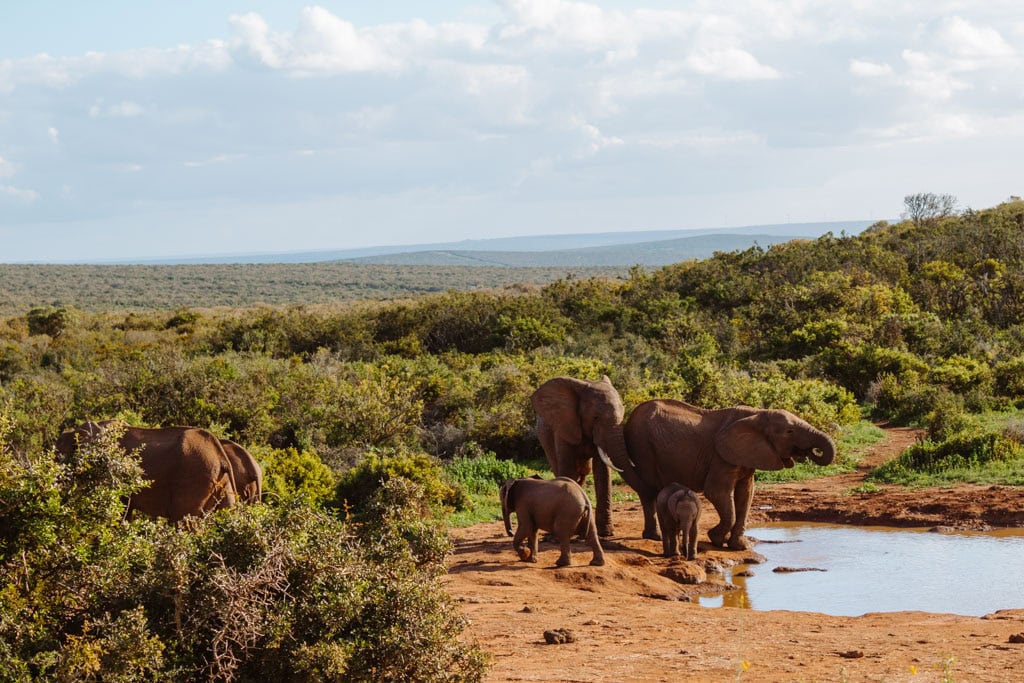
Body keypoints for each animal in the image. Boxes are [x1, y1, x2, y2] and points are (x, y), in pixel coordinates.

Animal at [528, 374, 630, 540]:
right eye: (595, 417)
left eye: (623, 413)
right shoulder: (564, 426)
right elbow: (568, 469)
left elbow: (602, 471)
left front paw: (606, 534)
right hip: (545, 438)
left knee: (582, 474)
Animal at [602, 401, 835, 548]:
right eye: (789, 431)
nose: (811, 452)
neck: (758, 413)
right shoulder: (721, 457)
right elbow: (717, 492)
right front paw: (715, 538)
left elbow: (746, 494)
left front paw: (739, 546)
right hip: (643, 447)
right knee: (649, 491)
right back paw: (655, 537)